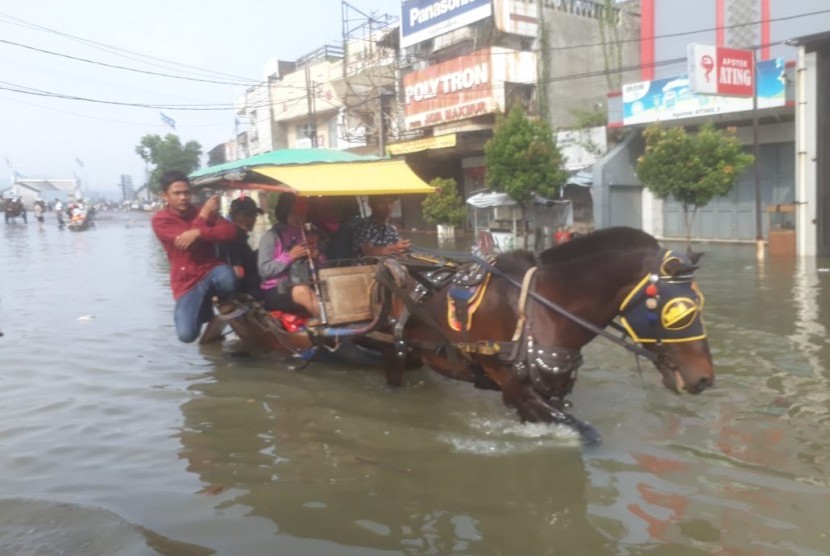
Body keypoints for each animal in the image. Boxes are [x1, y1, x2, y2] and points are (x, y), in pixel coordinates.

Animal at [394, 226, 720, 444]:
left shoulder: (548, 389)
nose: (704, 378)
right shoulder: (515, 389)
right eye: (680, 314)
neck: (540, 310)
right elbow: (585, 432)